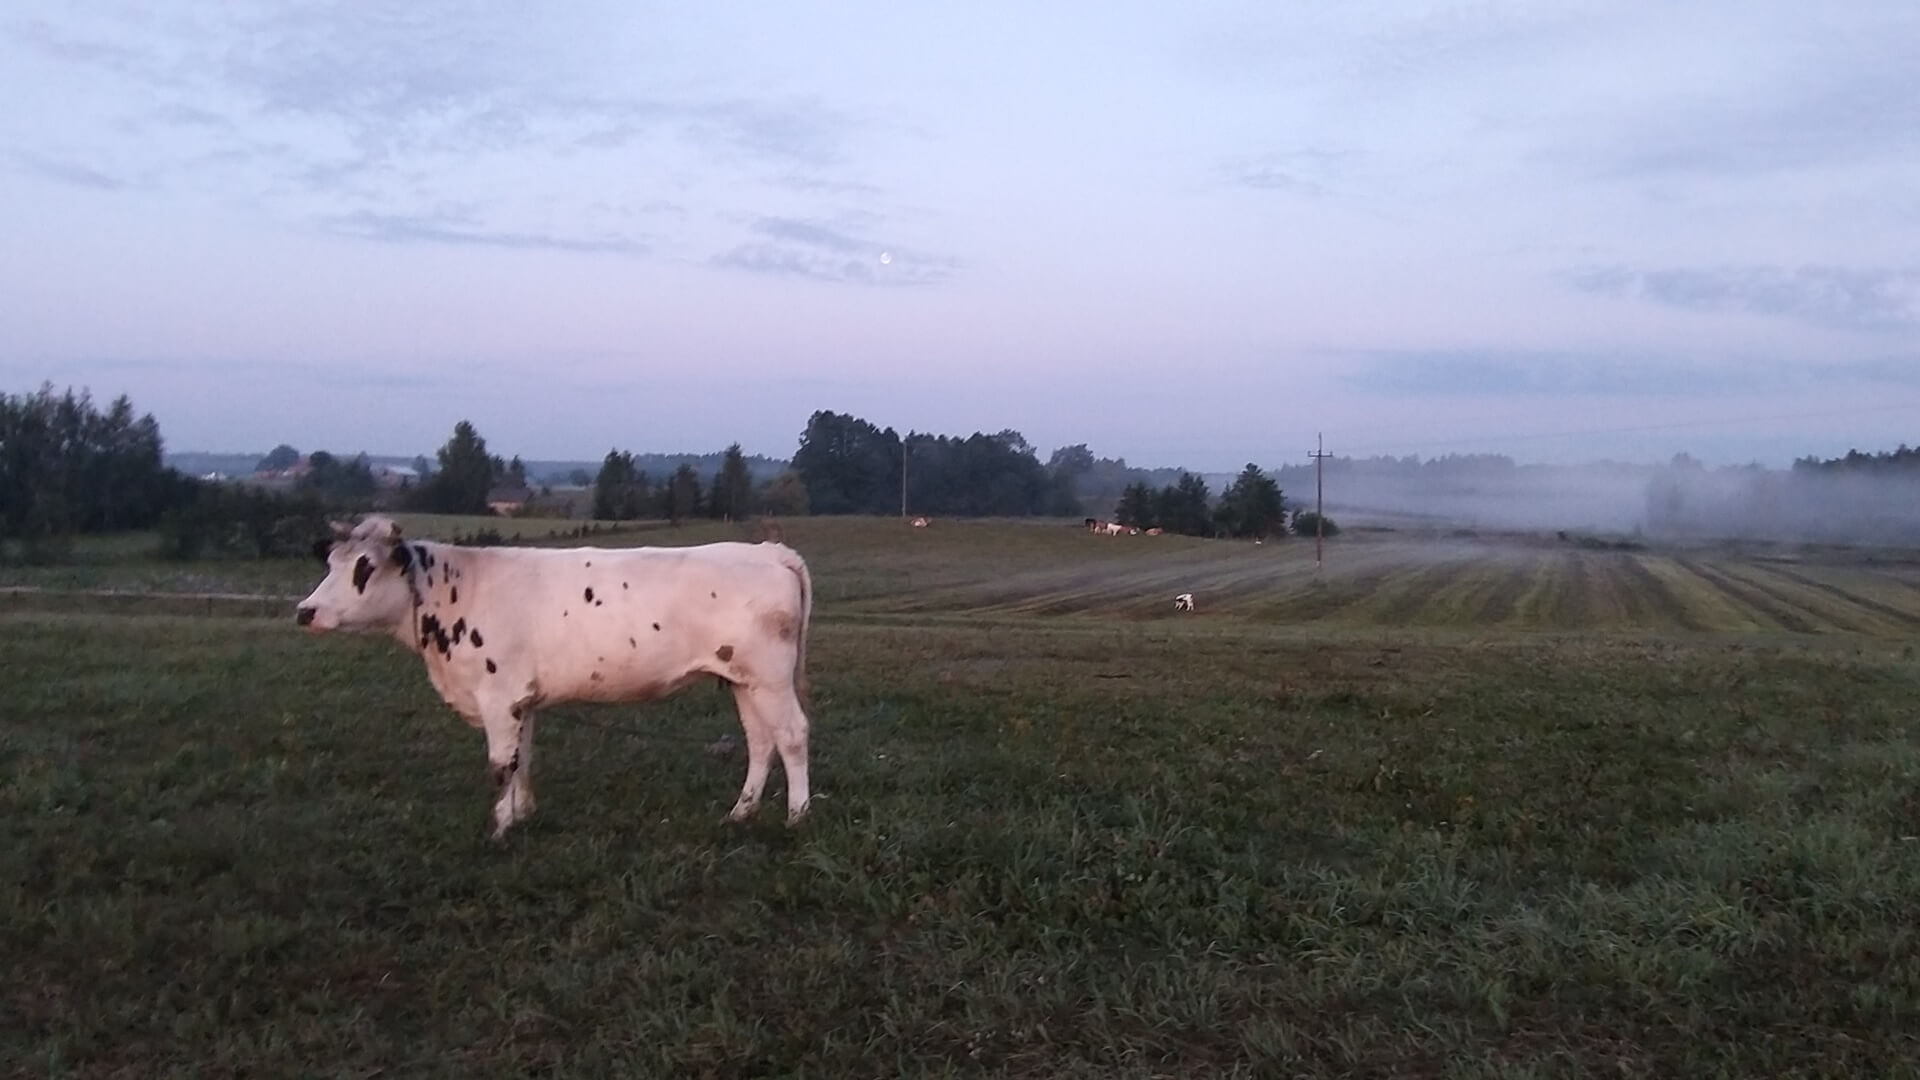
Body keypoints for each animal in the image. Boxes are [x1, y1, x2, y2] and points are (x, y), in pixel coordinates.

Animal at [294, 515, 815, 840]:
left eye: (365, 567)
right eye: (331, 563)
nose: (305, 611)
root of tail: (768, 550)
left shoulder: (497, 695)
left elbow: (501, 763)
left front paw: (500, 827)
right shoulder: (519, 699)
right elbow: (522, 756)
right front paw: (521, 814)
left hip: (770, 677)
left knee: (791, 735)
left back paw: (797, 817)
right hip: (745, 679)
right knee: (760, 741)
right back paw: (740, 813)